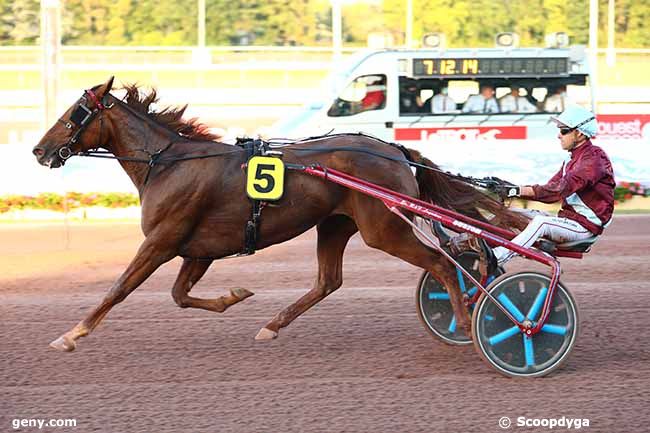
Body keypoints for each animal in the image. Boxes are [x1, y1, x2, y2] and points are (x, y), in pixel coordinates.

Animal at [33, 77, 528, 352]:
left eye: (76, 112)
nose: (39, 150)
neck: (169, 163)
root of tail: (393, 150)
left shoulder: (160, 242)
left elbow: (117, 289)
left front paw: (71, 334)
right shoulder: (200, 249)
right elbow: (179, 295)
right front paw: (234, 295)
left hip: (384, 228)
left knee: (443, 263)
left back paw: (466, 321)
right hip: (335, 224)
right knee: (329, 281)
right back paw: (271, 326)